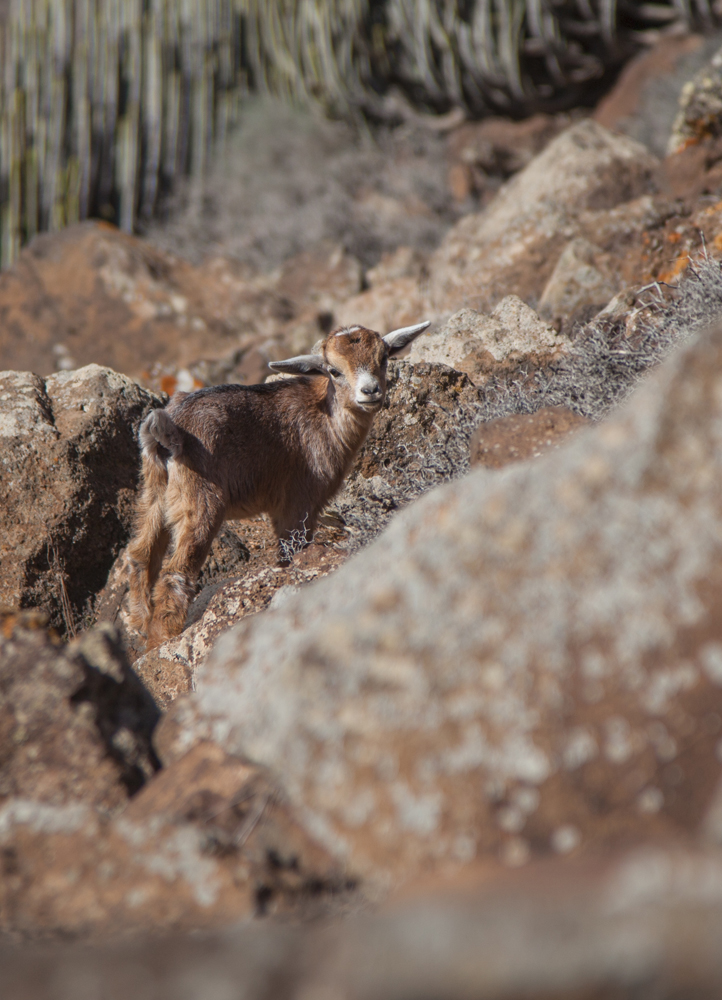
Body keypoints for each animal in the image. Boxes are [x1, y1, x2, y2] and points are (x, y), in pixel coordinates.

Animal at [126, 322, 428, 648]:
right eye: (333, 371)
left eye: (384, 358)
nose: (370, 391)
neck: (325, 416)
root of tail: (169, 431)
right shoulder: (299, 501)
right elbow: (290, 552)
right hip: (200, 500)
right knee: (175, 571)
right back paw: (164, 638)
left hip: (154, 493)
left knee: (141, 554)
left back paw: (139, 625)